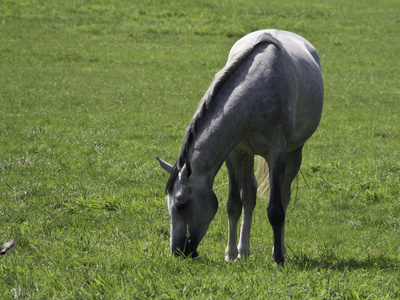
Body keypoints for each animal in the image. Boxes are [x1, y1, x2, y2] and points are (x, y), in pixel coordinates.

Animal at [158, 29, 324, 264]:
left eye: (181, 204)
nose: (177, 252)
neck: (257, 93)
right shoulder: (235, 153)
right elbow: (234, 204)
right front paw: (230, 254)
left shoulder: (277, 153)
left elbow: (276, 210)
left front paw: (277, 258)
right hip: (248, 156)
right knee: (249, 197)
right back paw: (243, 251)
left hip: (294, 152)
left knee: (284, 196)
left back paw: (279, 249)